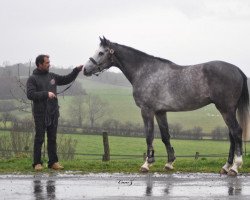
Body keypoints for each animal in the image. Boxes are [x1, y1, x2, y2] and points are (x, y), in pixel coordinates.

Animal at [83, 36, 249, 176]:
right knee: (232, 135)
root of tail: (237, 69)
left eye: (101, 52)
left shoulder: (147, 110)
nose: (85, 69)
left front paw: (147, 164)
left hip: (225, 109)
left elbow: (149, 135)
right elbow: (165, 136)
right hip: (228, 110)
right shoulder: (160, 111)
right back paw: (226, 166)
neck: (146, 72)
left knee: (236, 132)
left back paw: (235, 167)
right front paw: (169, 163)